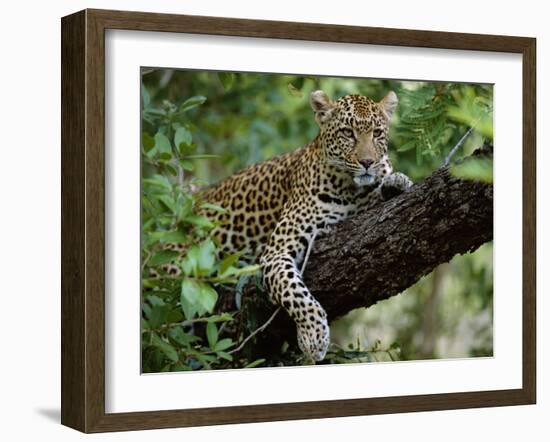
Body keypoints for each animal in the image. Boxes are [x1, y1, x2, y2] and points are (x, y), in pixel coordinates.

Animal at [162, 90, 412, 362]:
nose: (367, 162)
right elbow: (296, 294)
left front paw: (396, 182)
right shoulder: (276, 252)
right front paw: (313, 337)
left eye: (377, 133)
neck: (350, 189)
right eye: (347, 132)